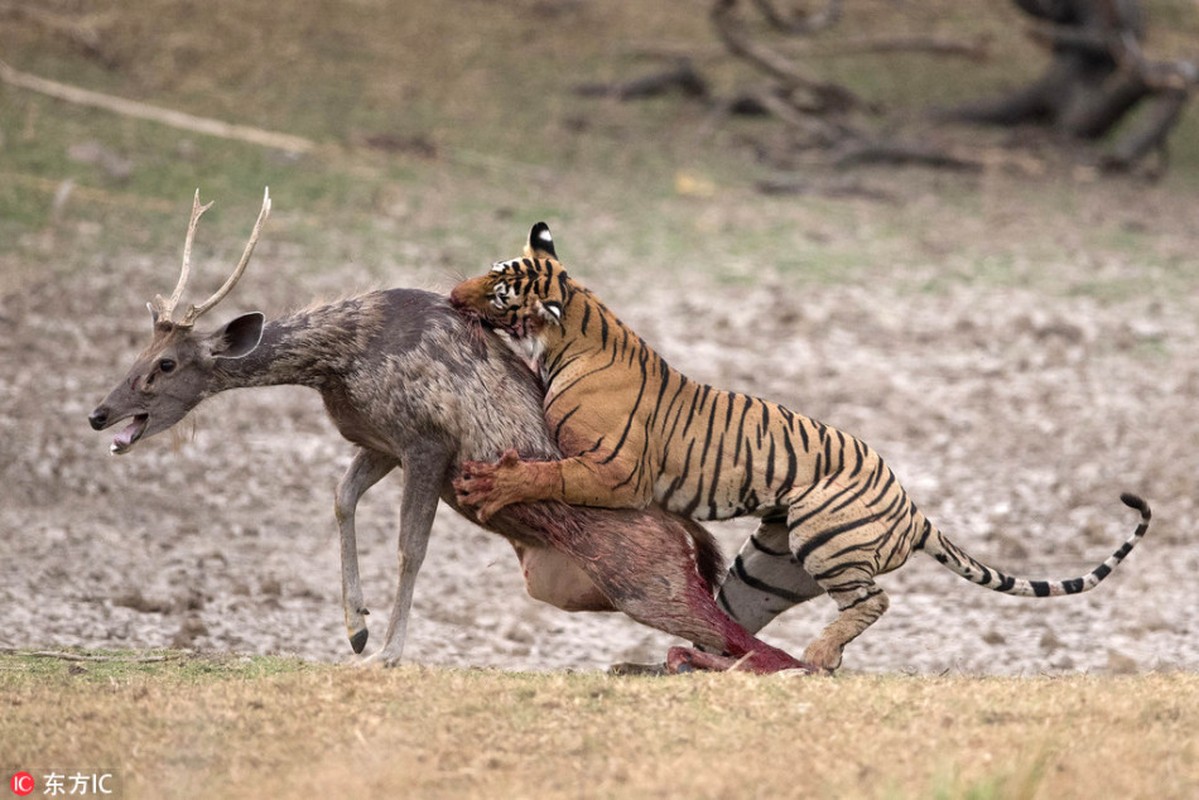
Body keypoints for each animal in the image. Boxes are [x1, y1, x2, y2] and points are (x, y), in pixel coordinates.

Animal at [88, 190, 810, 671]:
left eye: (166, 364)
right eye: (140, 350)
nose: (99, 411)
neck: (340, 361)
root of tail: (690, 539)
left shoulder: (426, 441)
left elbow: (412, 547)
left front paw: (388, 651)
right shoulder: (377, 442)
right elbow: (341, 500)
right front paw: (355, 629)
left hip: (651, 584)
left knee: (770, 649)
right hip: (581, 587)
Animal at [450, 221, 1151, 671]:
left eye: (499, 290)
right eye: (491, 270)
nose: (453, 296)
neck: (569, 332)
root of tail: (913, 508)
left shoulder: (616, 472)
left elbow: (549, 474)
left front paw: (495, 483)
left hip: (824, 538)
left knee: (874, 599)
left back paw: (818, 654)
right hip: (766, 568)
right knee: (732, 626)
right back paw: (684, 664)